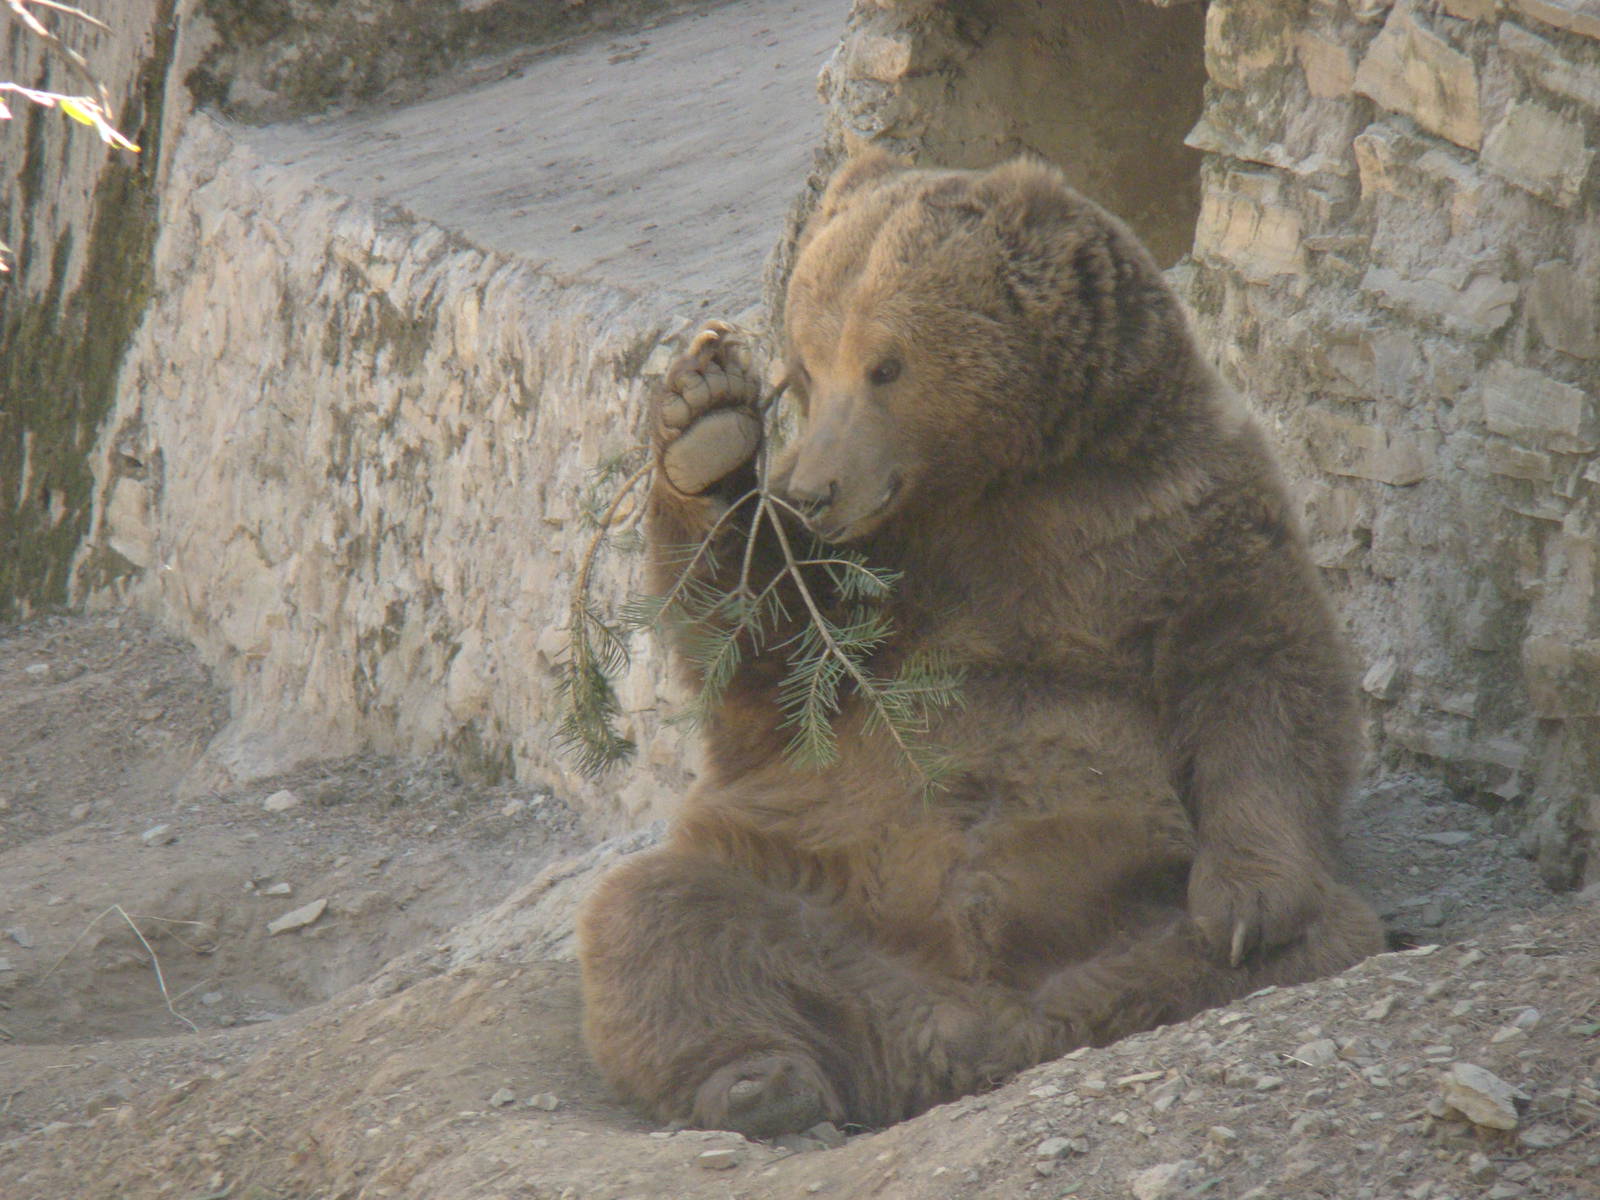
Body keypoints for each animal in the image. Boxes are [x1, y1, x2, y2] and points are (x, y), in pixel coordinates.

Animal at [577, 151, 1384, 1138]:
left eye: (884, 363)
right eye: (805, 366)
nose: (811, 489)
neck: (995, 485)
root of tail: (966, 1032)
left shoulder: (1178, 514)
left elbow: (1262, 677)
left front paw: (1247, 907)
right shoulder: (876, 591)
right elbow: (761, 661)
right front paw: (705, 422)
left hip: (1124, 906)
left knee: (1330, 934)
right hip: (812, 888)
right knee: (660, 916)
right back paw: (759, 1082)